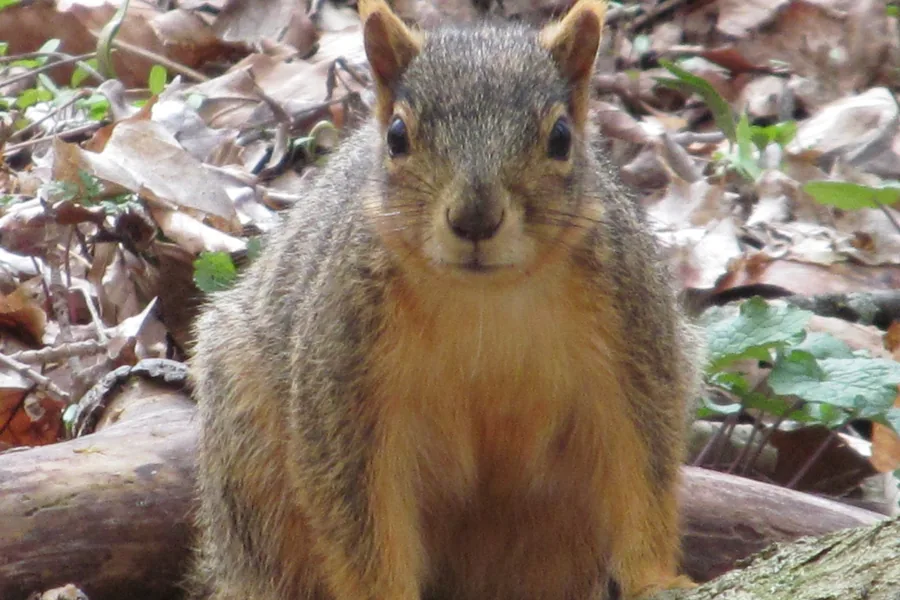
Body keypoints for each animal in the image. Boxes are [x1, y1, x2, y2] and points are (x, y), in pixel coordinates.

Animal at [189, 0, 700, 598]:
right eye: (396, 136)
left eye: (561, 138)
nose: (475, 218)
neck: (485, 298)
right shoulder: (342, 375)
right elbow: (354, 507)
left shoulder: (634, 340)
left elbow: (644, 467)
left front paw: (655, 579)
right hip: (247, 462)